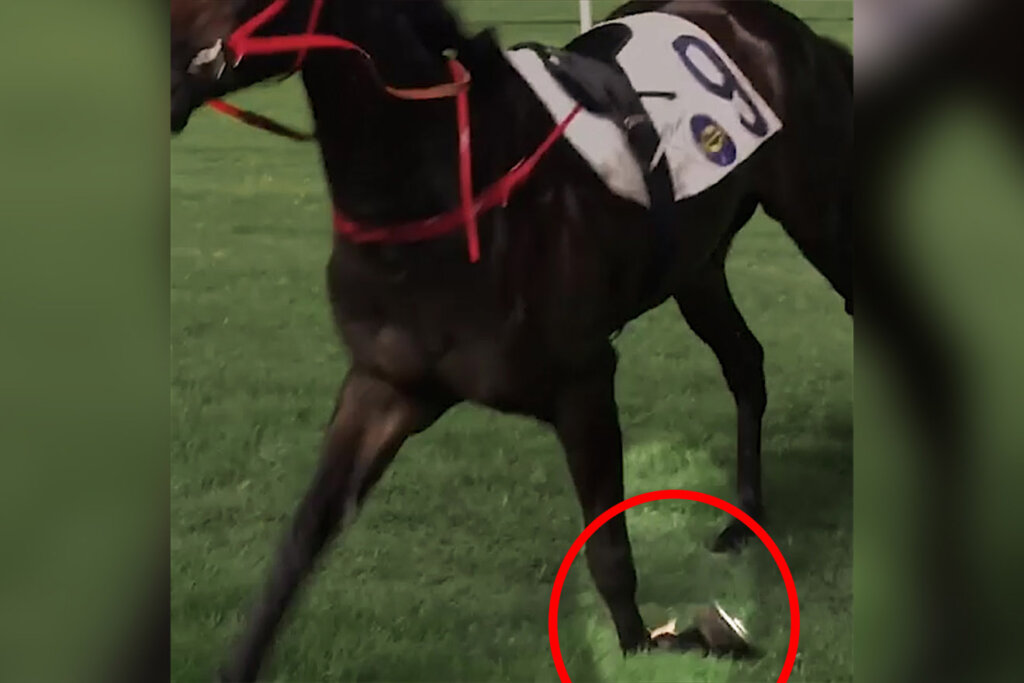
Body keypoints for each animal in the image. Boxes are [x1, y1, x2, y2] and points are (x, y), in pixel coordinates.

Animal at [171, 0, 852, 679]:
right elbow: (305, 535)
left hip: (816, 218)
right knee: (746, 363)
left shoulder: (584, 381)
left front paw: (649, 640)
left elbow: (608, 550)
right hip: (697, 268)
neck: (448, 191)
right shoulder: (384, 385)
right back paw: (746, 517)